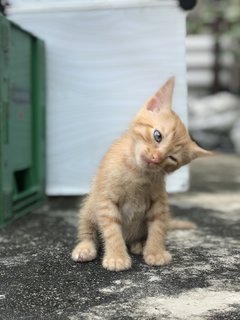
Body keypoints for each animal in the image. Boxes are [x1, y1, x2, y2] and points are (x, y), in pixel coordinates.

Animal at [71, 77, 210, 270]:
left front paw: (155, 252)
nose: (156, 158)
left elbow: (158, 227)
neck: (137, 172)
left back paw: (139, 244)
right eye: (157, 136)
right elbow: (112, 230)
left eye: (172, 158)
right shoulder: (106, 200)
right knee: (87, 230)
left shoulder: (159, 202)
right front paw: (117, 257)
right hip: (90, 206)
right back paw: (85, 247)